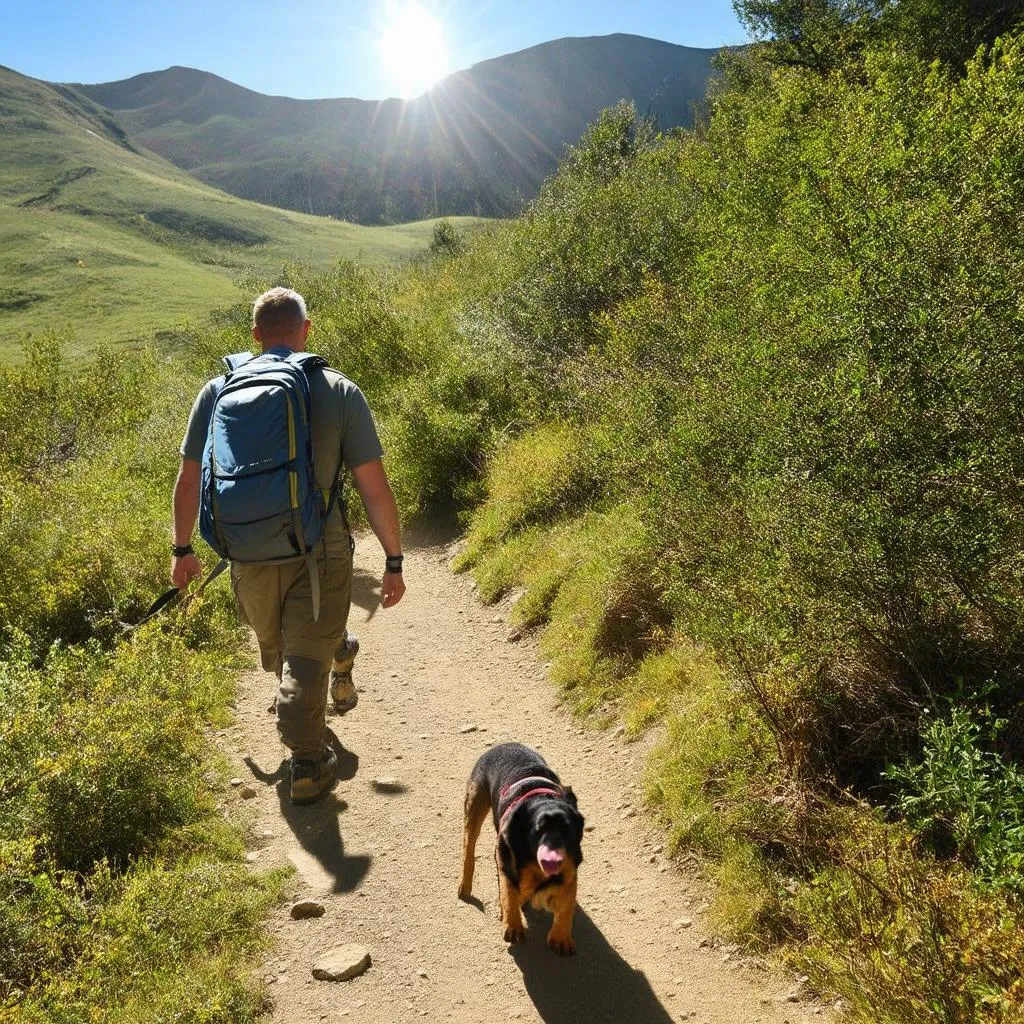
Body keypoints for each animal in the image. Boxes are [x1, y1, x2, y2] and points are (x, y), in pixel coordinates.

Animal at [458, 745, 585, 950]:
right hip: (474, 808)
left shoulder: (570, 867)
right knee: (468, 850)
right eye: (539, 829)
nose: (554, 855)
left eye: (567, 830)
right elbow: (508, 894)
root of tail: (502, 744)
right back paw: (465, 887)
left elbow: (566, 903)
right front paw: (513, 926)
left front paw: (561, 937)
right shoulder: (508, 862)